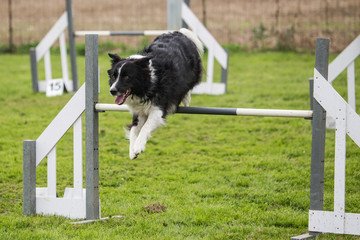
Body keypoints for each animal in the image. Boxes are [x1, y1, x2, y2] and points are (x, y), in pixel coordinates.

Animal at [107, 28, 202, 159]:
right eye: (114, 76)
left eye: (126, 77)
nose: (112, 91)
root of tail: (178, 32)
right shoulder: (139, 110)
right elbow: (134, 129)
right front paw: (132, 150)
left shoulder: (158, 108)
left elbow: (146, 126)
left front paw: (138, 146)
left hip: (192, 72)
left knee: (189, 85)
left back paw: (186, 99)